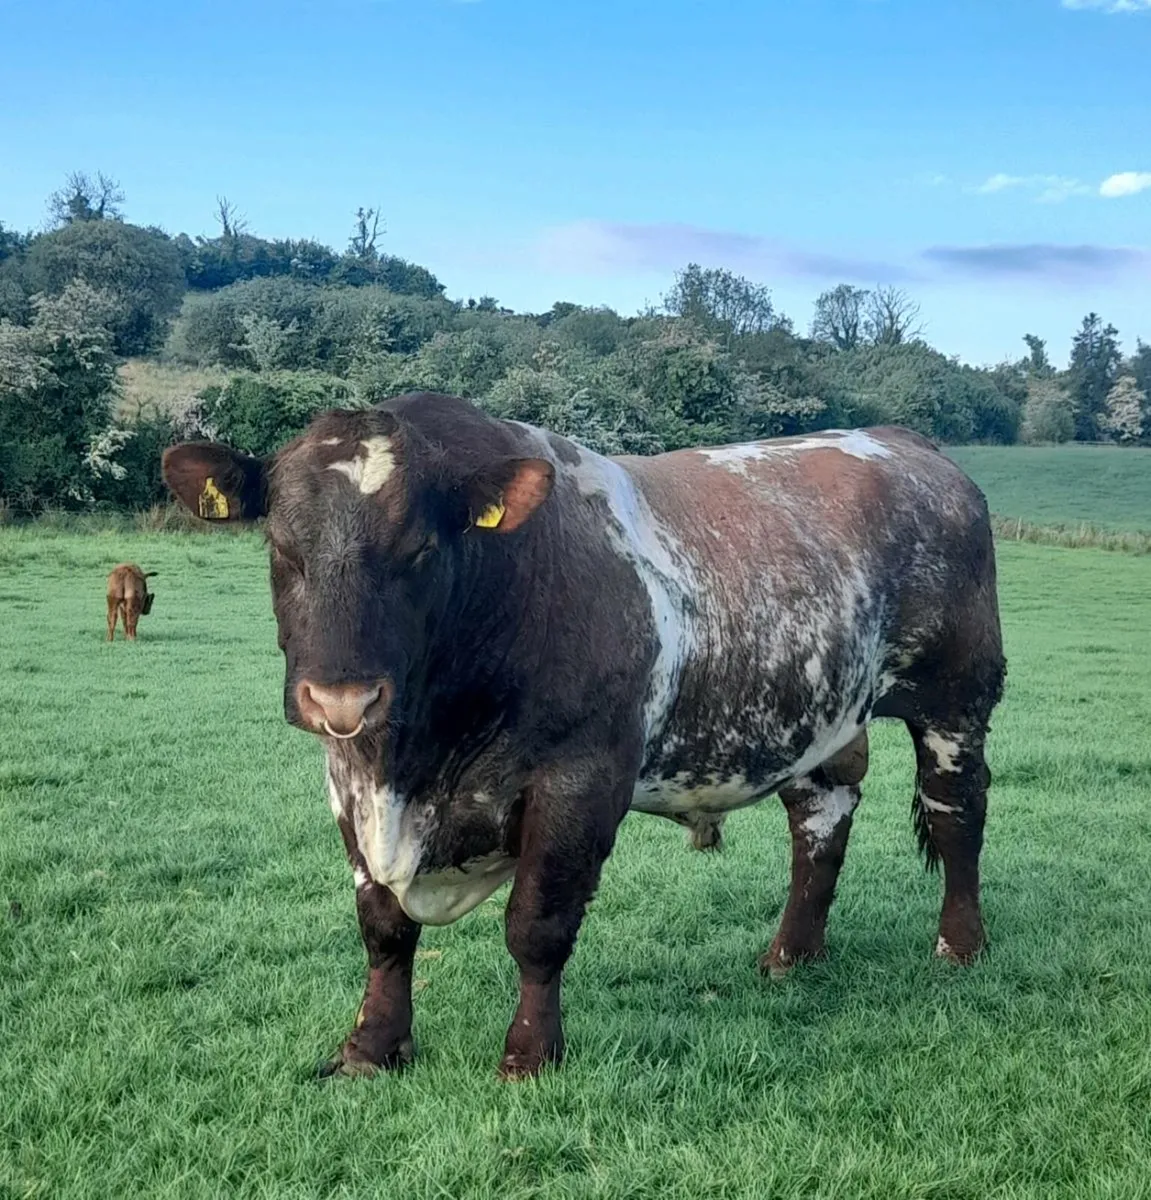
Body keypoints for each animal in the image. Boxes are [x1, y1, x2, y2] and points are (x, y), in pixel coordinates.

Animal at [161, 392, 1005, 1080]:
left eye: (421, 550)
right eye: (282, 546)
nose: (342, 695)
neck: (417, 755)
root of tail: (903, 442)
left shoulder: (579, 777)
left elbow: (537, 925)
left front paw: (529, 1054)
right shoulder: (349, 780)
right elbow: (383, 926)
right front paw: (371, 1047)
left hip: (958, 697)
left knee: (956, 813)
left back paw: (959, 947)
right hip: (818, 717)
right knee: (821, 820)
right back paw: (790, 956)